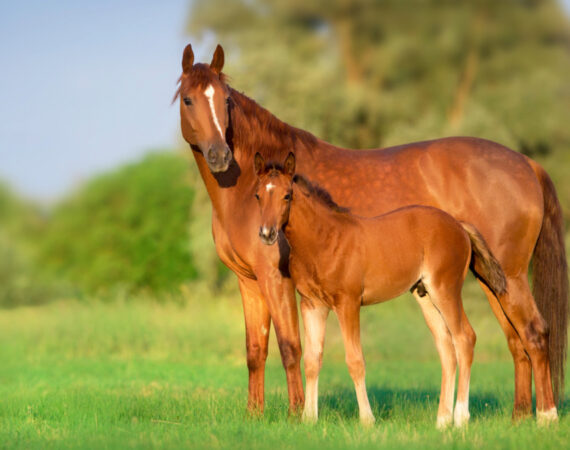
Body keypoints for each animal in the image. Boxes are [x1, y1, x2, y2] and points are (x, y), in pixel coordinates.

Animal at [175, 44, 564, 420]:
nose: (220, 155)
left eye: (225, 100)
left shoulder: (276, 278)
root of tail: (526, 163)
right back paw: (517, 417)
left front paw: (295, 413)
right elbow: (256, 349)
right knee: (514, 341)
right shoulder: (249, 280)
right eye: (188, 99)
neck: (242, 191)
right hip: (487, 280)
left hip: (509, 277)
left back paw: (544, 415)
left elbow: (291, 347)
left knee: (534, 333)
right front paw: (255, 416)